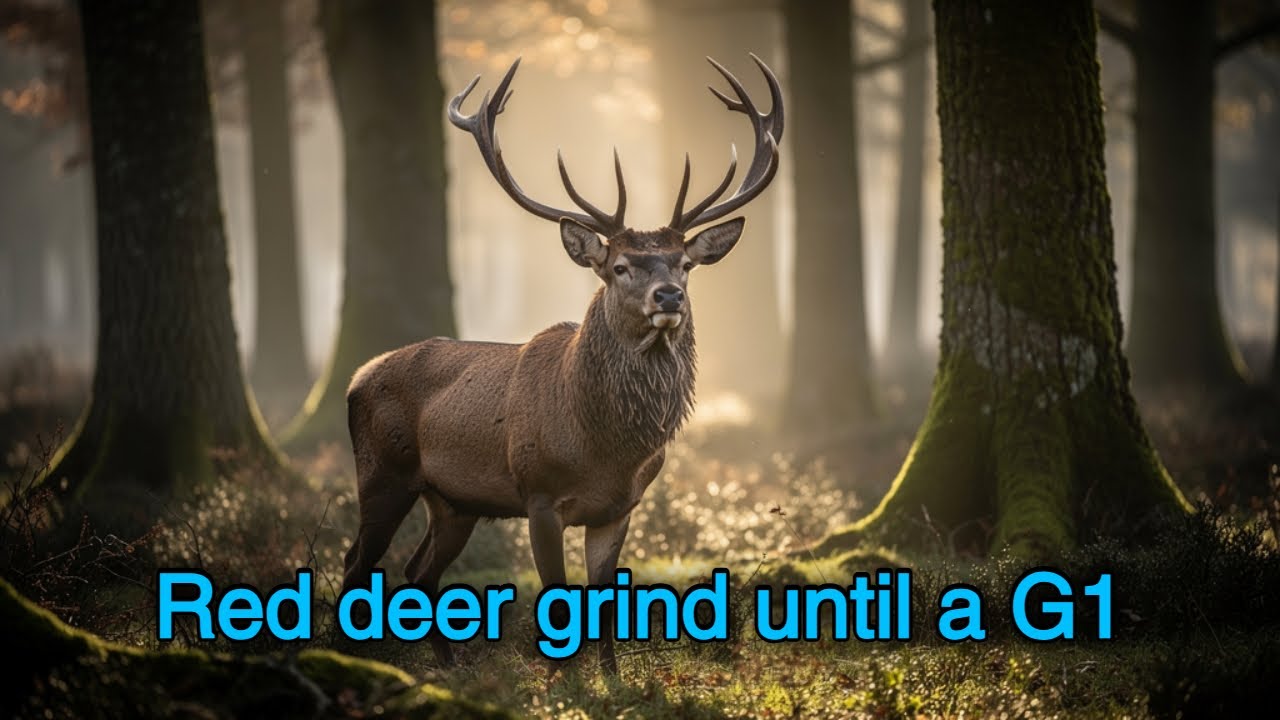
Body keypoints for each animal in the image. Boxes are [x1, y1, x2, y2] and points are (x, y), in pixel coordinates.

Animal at [341, 54, 783, 674]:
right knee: (357, 562)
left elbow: (602, 600)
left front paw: (612, 678)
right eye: (620, 266)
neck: (604, 448)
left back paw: (450, 669)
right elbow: (555, 593)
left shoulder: (619, 508)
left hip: (452, 501)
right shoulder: (539, 496)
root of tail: (357, 376)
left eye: (684, 264)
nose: (669, 295)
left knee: (418, 572)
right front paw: (562, 679)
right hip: (382, 472)